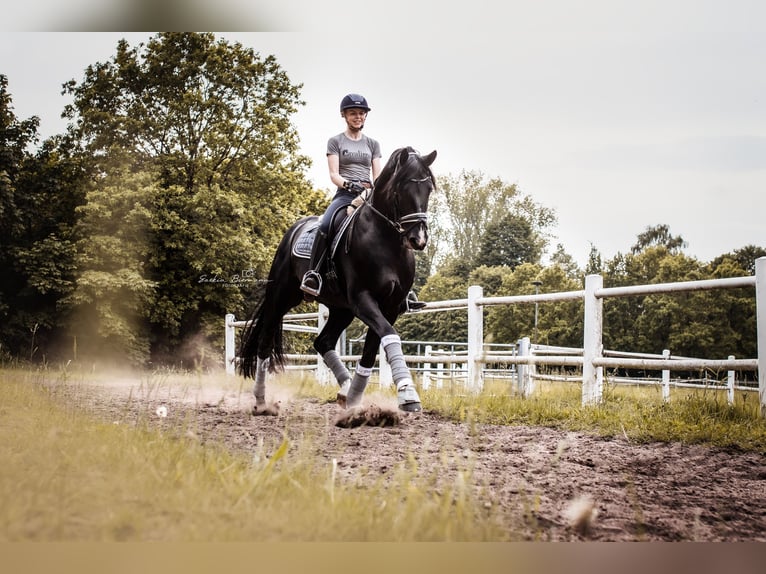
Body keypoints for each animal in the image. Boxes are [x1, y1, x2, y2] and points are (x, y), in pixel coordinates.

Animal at [238, 146, 437, 414]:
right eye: (400, 190)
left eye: (428, 189)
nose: (418, 239)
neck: (386, 242)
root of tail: (294, 228)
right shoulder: (363, 299)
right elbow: (389, 335)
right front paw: (408, 394)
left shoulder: (391, 306)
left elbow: (373, 348)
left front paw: (354, 398)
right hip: (281, 297)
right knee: (265, 341)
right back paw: (261, 400)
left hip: (341, 309)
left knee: (323, 342)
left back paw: (345, 390)